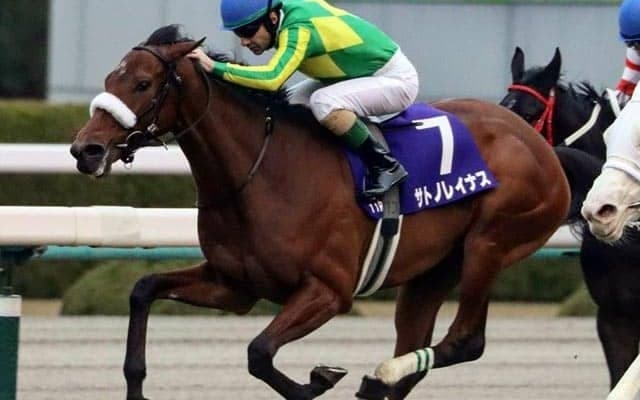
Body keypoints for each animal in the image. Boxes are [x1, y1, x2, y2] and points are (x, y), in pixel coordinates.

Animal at [69, 26, 569, 400]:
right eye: (110, 80)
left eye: (142, 84)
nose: (85, 150)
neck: (262, 173)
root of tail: (539, 144)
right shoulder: (233, 285)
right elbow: (143, 289)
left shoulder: (328, 291)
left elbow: (259, 353)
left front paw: (320, 378)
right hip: (434, 269)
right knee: (418, 345)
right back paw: (383, 380)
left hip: (490, 241)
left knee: (466, 339)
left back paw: (382, 374)